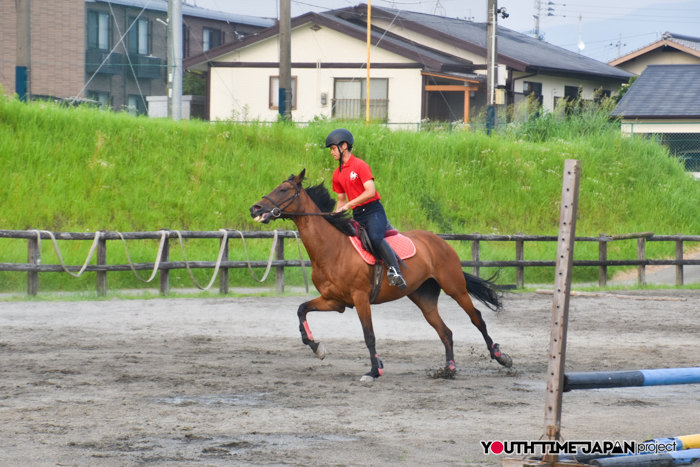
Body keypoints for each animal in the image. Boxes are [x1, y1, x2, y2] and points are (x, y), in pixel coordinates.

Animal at [250, 169, 512, 382]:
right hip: (423, 298)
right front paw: (317, 348)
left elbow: (369, 335)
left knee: (477, 318)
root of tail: (438, 241)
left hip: (454, 287)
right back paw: (449, 369)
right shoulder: (335, 302)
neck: (332, 248)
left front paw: (374, 371)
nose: (255, 208)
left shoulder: (360, 298)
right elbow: (301, 310)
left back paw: (500, 356)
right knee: (445, 332)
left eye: (283, 189)